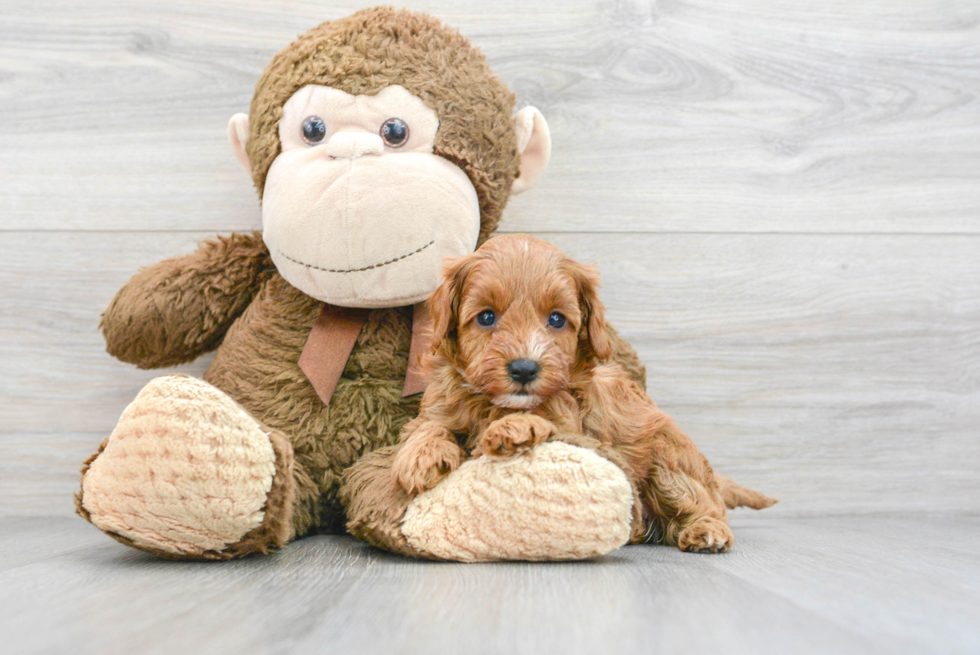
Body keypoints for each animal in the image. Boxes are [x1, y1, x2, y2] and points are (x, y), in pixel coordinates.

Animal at [390, 236, 772, 552]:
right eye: (486, 317)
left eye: (557, 320)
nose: (524, 369)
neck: (487, 401)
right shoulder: (440, 404)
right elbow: (427, 426)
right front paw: (421, 456)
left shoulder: (566, 421)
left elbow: (530, 420)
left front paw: (512, 428)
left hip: (670, 463)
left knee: (704, 502)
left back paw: (706, 531)